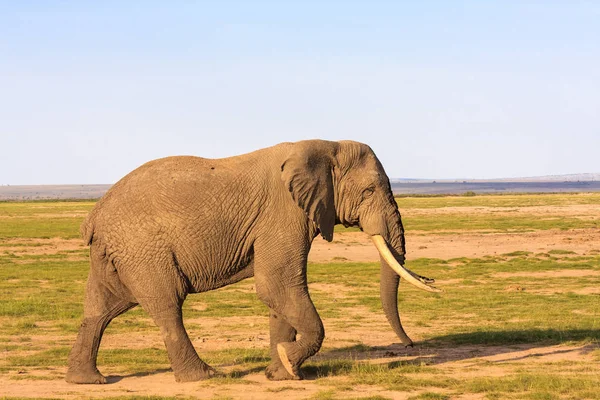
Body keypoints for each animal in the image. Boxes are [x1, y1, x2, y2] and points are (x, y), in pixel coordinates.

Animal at [67, 140, 440, 384]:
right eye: (369, 192)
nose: (410, 345)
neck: (325, 145)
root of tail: (94, 216)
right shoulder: (283, 214)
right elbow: (277, 284)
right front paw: (289, 362)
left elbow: (281, 294)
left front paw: (281, 374)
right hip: (143, 247)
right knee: (167, 304)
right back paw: (203, 377)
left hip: (118, 252)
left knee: (102, 308)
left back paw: (87, 381)